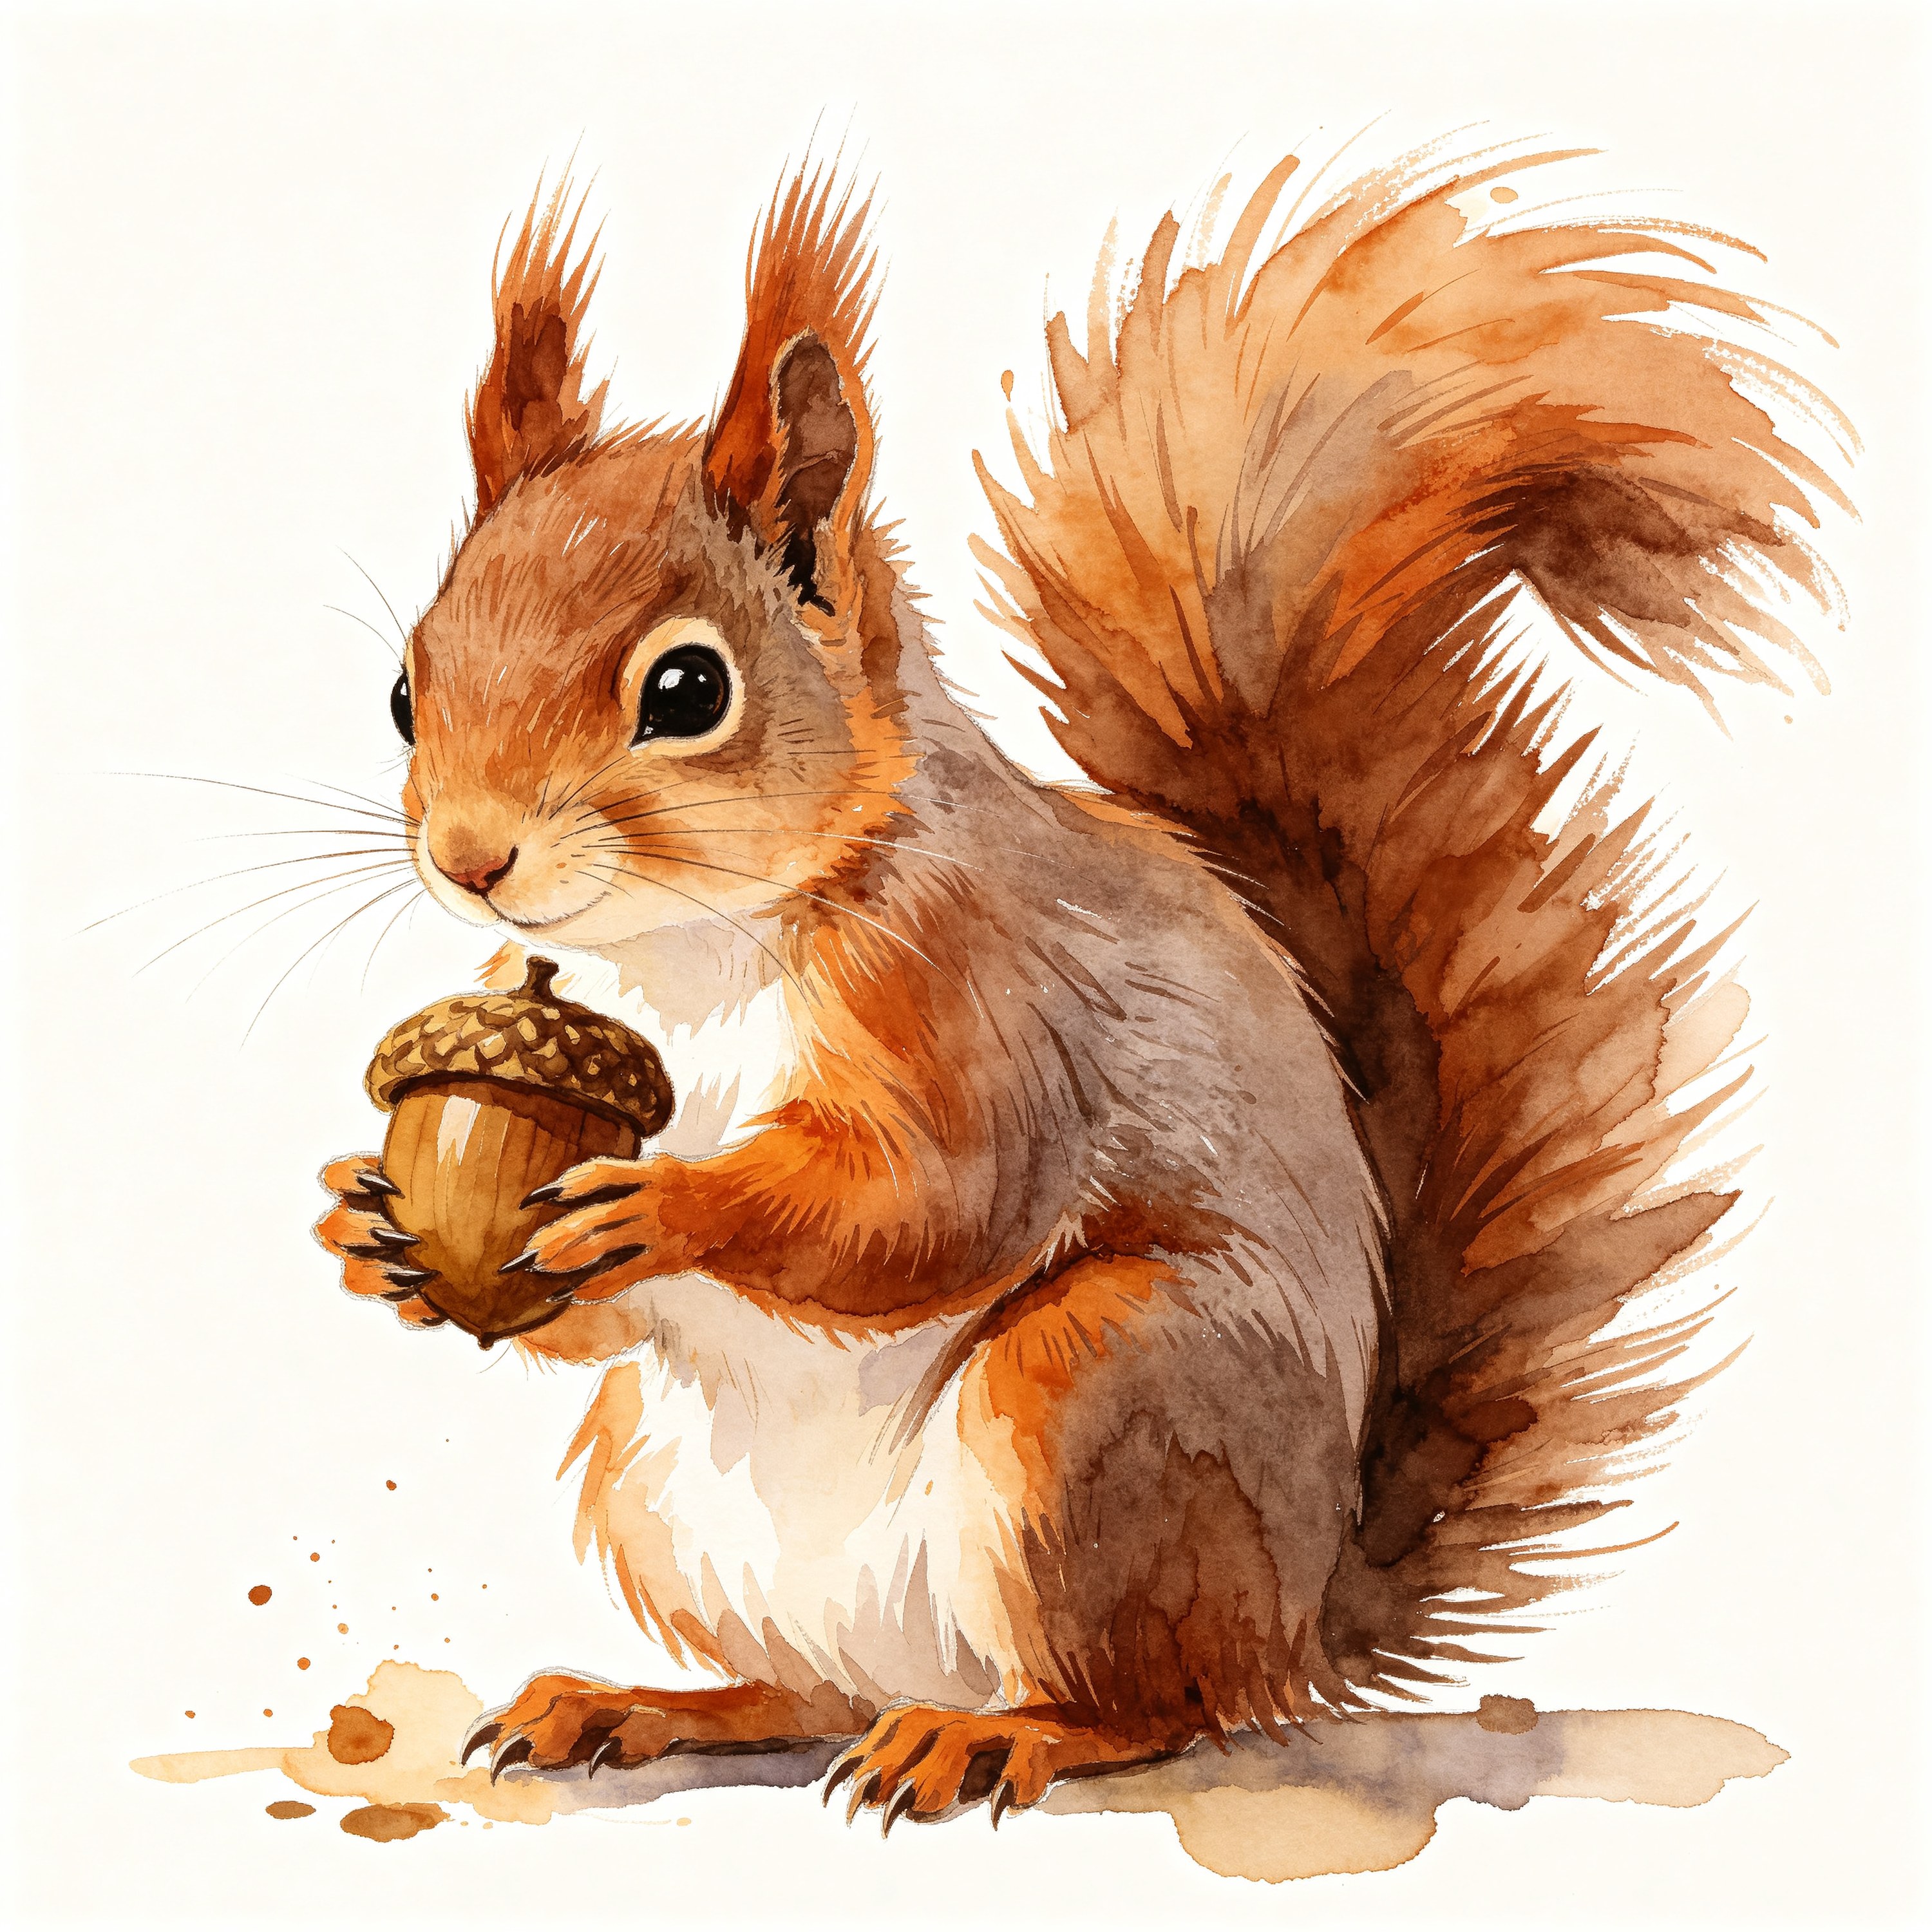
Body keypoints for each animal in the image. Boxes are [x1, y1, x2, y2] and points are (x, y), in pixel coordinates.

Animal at [313, 146, 1845, 1826]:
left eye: (688, 689)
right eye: (405, 691)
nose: (472, 859)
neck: (689, 945)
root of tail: (1298, 1619)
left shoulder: (982, 996)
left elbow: (932, 1203)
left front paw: (670, 1207)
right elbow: (581, 1323)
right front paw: (366, 1224)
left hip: (1097, 1396)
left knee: (1155, 1702)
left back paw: (1005, 1736)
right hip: (661, 1495)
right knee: (807, 1688)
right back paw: (643, 1703)